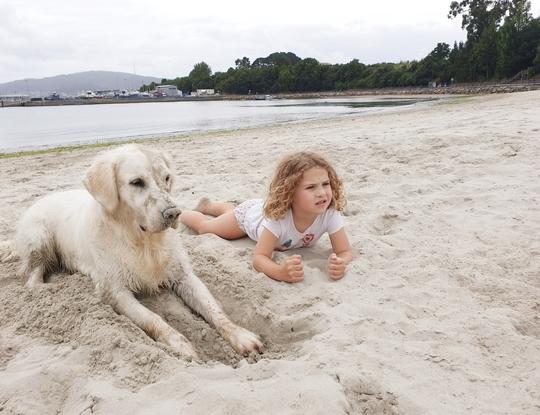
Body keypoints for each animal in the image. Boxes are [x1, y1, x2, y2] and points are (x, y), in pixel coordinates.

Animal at [0, 145, 262, 360]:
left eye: (167, 178)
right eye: (137, 182)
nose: (173, 213)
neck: (142, 241)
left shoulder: (184, 276)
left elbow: (214, 309)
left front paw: (241, 336)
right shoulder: (116, 291)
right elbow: (154, 319)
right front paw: (181, 345)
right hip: (39, 237)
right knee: (32, 275)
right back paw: (45, 288)